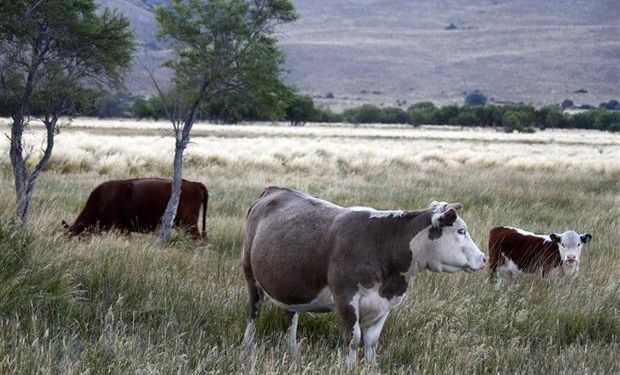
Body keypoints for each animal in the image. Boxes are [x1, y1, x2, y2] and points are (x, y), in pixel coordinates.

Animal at [240, 188, 486, 368]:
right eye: (461, 231)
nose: (483, 258)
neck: (383, 244)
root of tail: (274, 190)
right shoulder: (345, 299)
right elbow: (353, 338)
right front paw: (349, 367)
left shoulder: (385, 304)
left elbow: (371, 342)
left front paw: (369, 366)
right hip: (250, 274)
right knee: (253, 311)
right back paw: (246, 345)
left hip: (289, 284)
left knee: (291, 317)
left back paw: (292, 352)